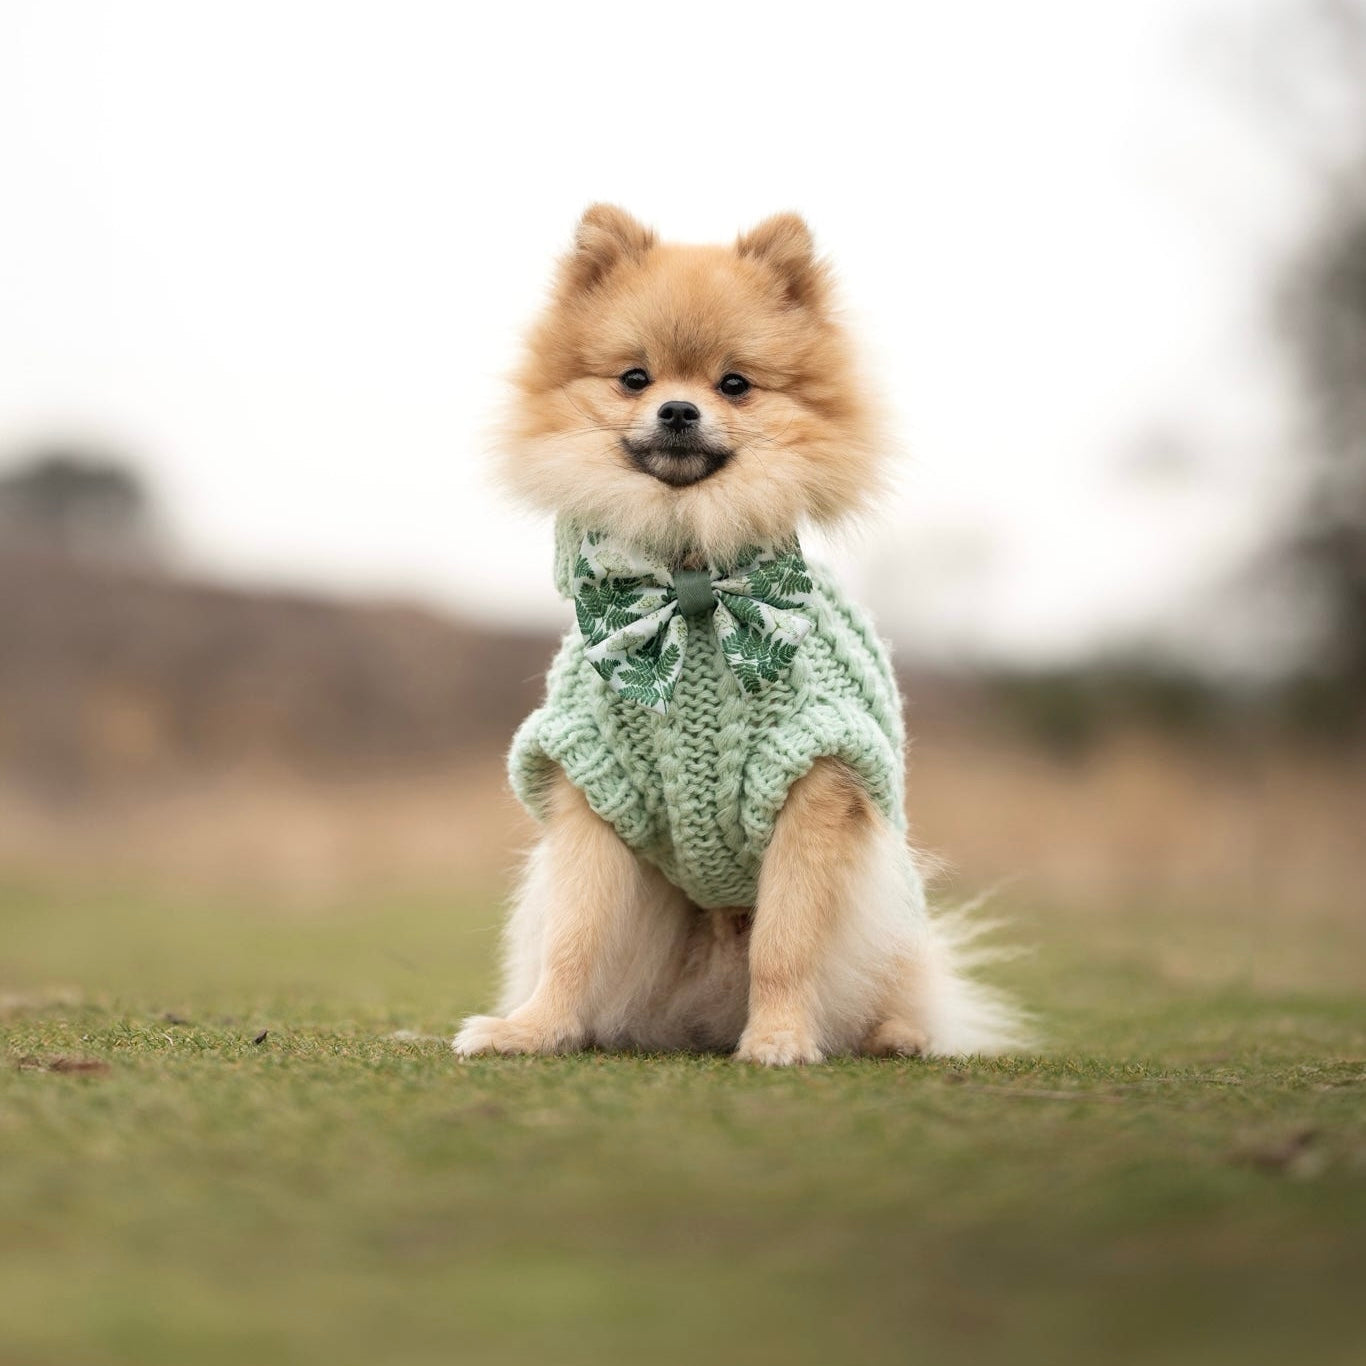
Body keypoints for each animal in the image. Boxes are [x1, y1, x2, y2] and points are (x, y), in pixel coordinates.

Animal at [453, 204, 1021, 1065]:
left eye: (734, 385)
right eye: (635, 379)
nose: (678, 411)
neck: (690, 582)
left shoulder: (814, 776)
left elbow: (785, 941)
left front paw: (781, 1037)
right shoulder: (596, 782)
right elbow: (574, 937)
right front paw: (535, 1029)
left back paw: (895, 1034)